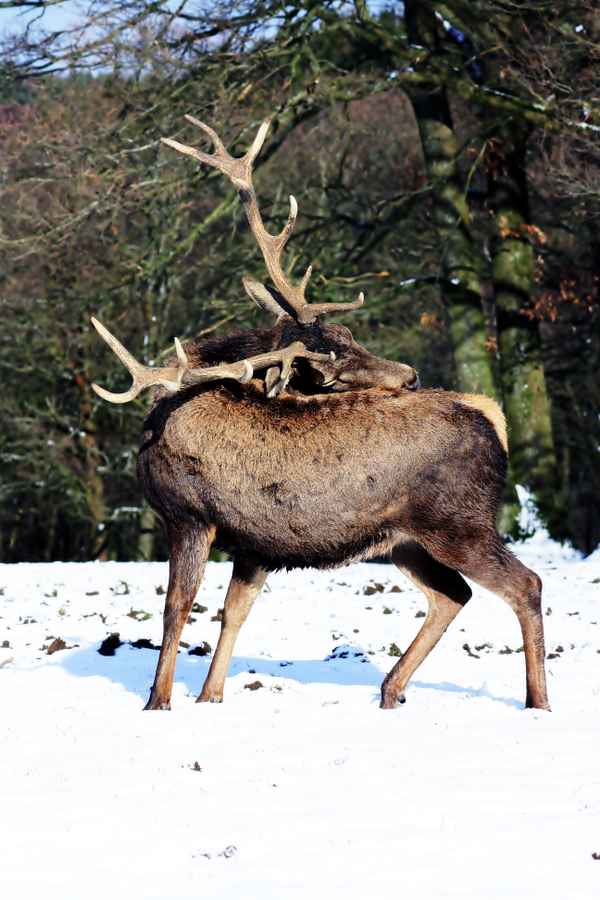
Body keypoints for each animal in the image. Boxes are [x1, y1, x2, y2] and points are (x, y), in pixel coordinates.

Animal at [91, 116, 550, 713]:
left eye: (350, 337)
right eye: (328, 364)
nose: (411, 376)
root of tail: (493, 415)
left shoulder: (187, 515)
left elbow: (177, 611)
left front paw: (158, 702)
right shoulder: (255, 545)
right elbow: (232, 615)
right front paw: (210, 698)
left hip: (459, 520)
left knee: (525, 584)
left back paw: (537, 703)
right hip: (406, 539)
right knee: (454, 593)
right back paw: (390, 690)